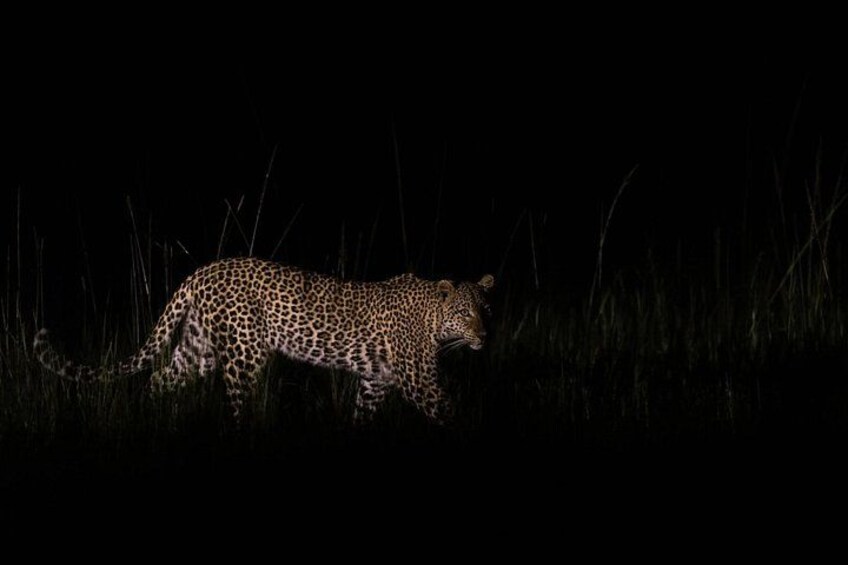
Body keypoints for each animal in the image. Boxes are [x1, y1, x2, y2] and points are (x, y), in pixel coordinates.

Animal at [33, 257, 494, 425]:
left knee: (159, 379)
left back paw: (150, 422)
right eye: (464, 314)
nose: (484, 336)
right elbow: (450, 412)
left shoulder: (376, 381)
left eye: (486, 310)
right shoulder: (419, 381)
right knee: (238, 407)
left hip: (197, 349)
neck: (433, 318)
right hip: (244, 355)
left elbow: (363, 416)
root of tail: (201, 271)